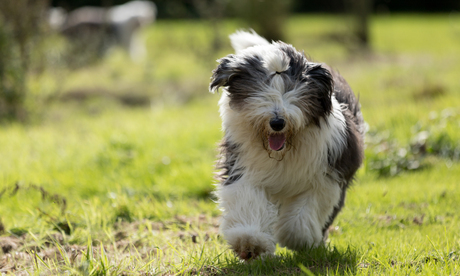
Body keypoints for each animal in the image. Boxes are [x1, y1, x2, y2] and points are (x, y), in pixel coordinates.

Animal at [210, 30, 364, 260]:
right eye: (261, 89)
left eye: (293, 90)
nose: (277, 122)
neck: (284, 151)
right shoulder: (243, 169)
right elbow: (247, 199)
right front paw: (250, 241)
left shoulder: (325, 179)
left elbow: (302, 216)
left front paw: (297, 239)